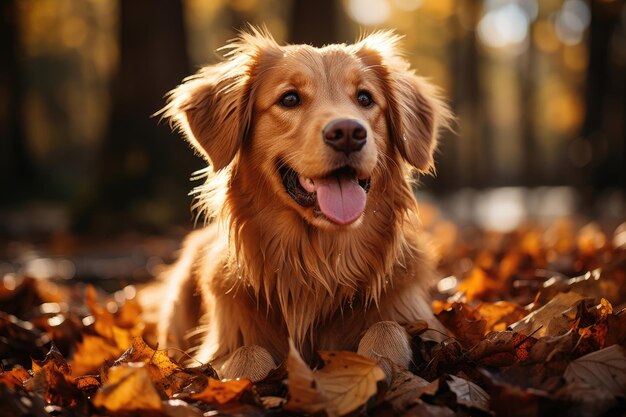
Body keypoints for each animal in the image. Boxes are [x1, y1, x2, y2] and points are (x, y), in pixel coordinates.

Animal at [156, 27, 448, 382]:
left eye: (365, 98)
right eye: (290, 99)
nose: (348, 132)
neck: (318, 266)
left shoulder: (421, 320)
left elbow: (387, 329)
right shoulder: (217, 347)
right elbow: (246, 354)